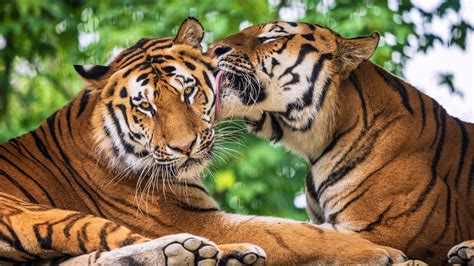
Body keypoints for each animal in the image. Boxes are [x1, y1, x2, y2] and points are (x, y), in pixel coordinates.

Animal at [0, 17, 410, 264]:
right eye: (145, 106)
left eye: (188, 91)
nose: (185, 146)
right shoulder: (200, 220)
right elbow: (293, 234)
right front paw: (383, 251)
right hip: (30, 211)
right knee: (119, 241)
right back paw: (217, 253)